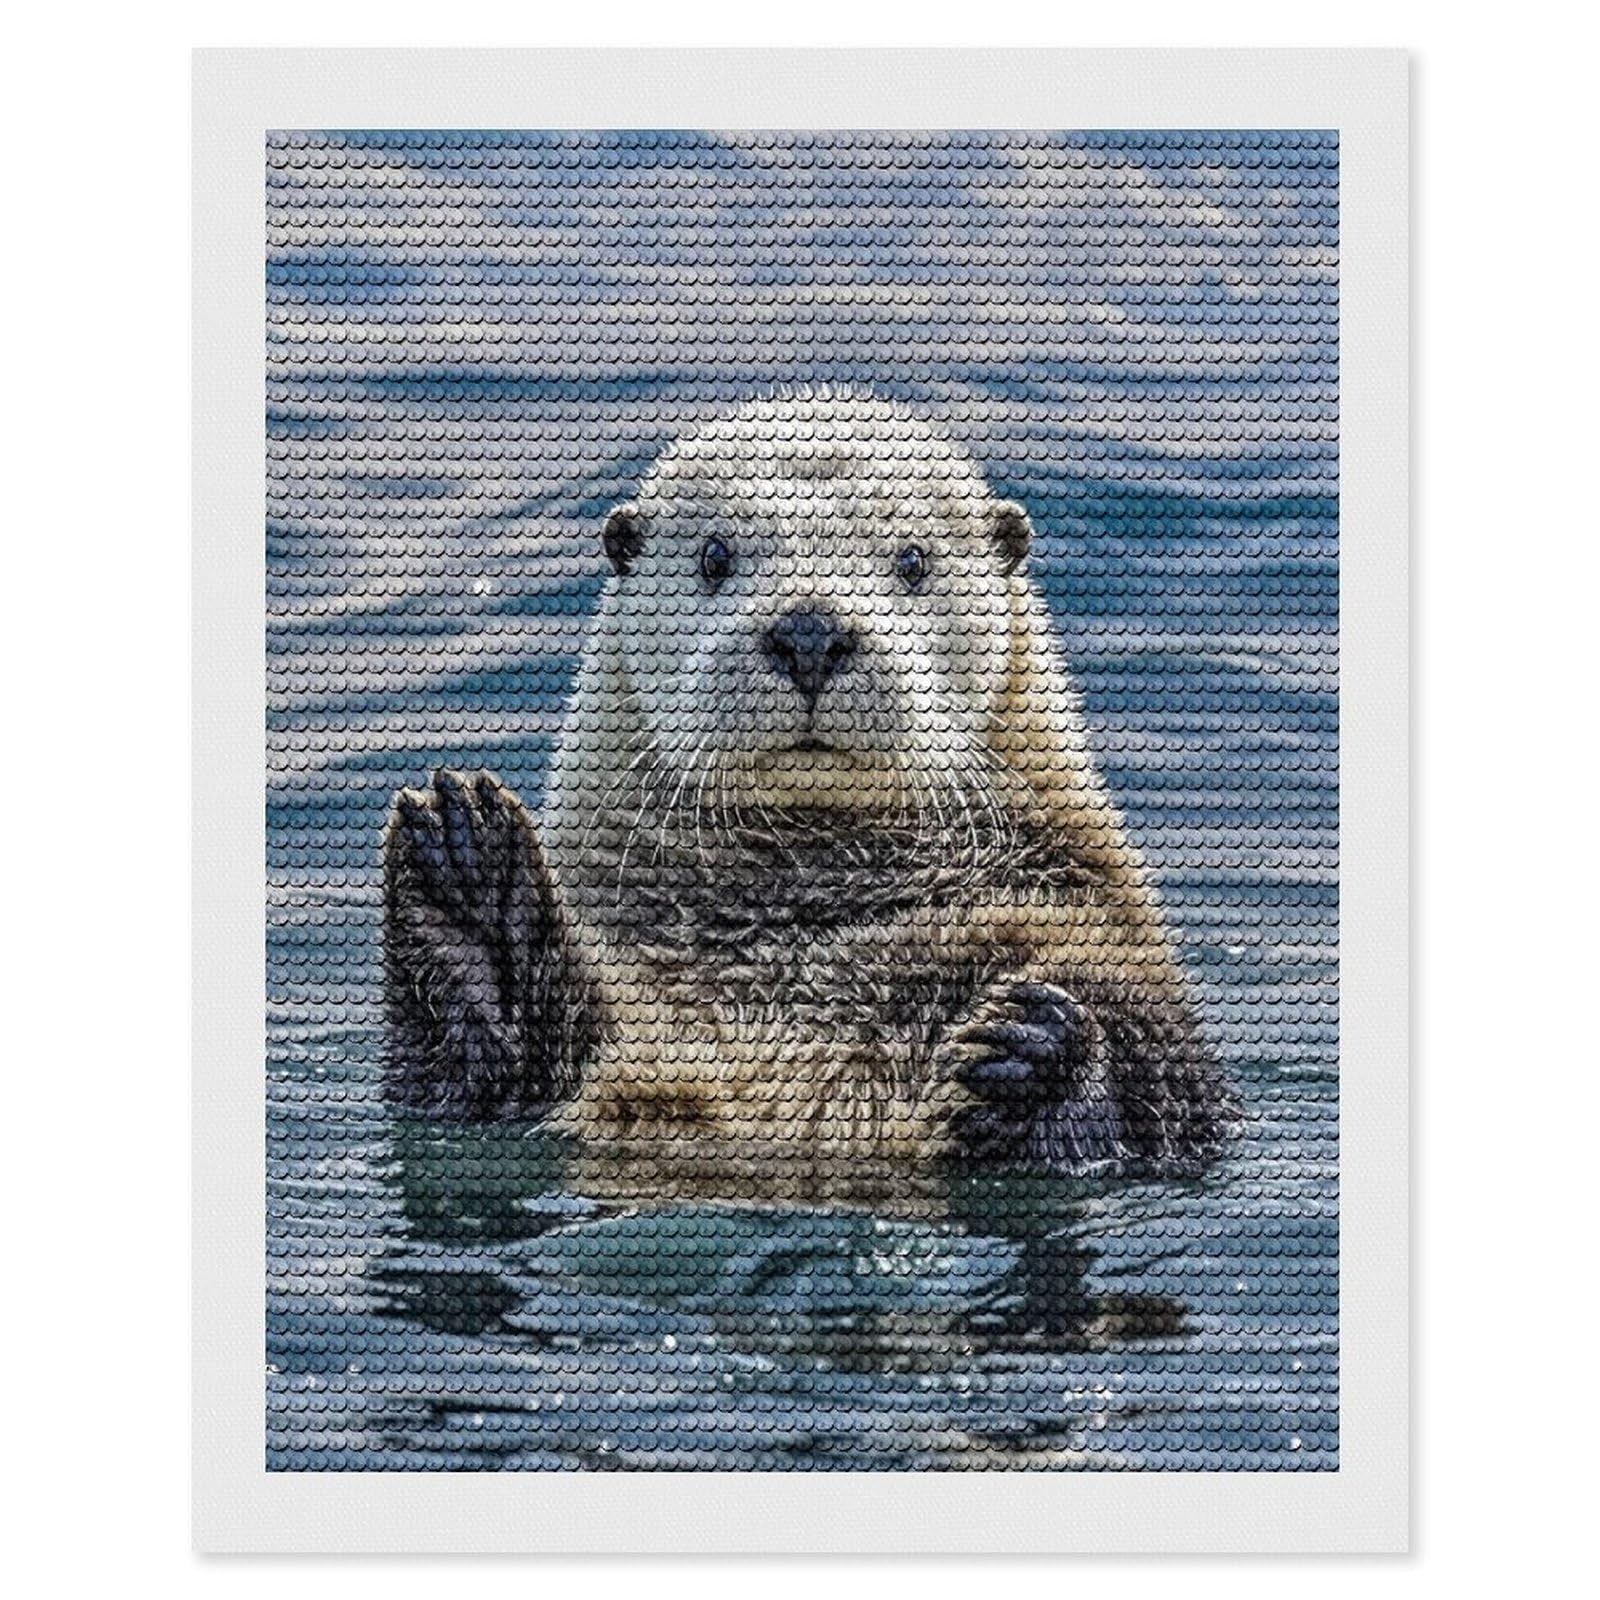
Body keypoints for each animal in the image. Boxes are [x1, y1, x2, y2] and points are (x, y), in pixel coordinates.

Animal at [382, 393, 1235, 1177]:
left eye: (913, 561)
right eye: (715, 556)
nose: (810, 632)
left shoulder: (1091, 918)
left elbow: (1168, 1080)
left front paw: (1037, 1052)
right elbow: (471, 1087)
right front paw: (466, 888)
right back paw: (471, 889)